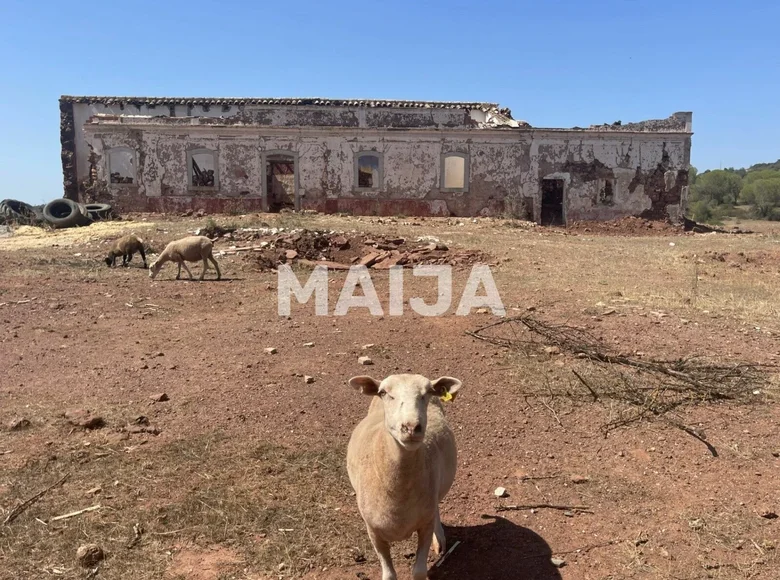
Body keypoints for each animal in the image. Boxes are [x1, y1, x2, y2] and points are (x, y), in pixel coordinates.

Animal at [348, 374, 464, 576]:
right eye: (383, 392)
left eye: (428, 392)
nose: (411, 427)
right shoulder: (374, 532)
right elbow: (389, 574)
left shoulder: (424, 524)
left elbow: (418, 571)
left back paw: (440, 539)